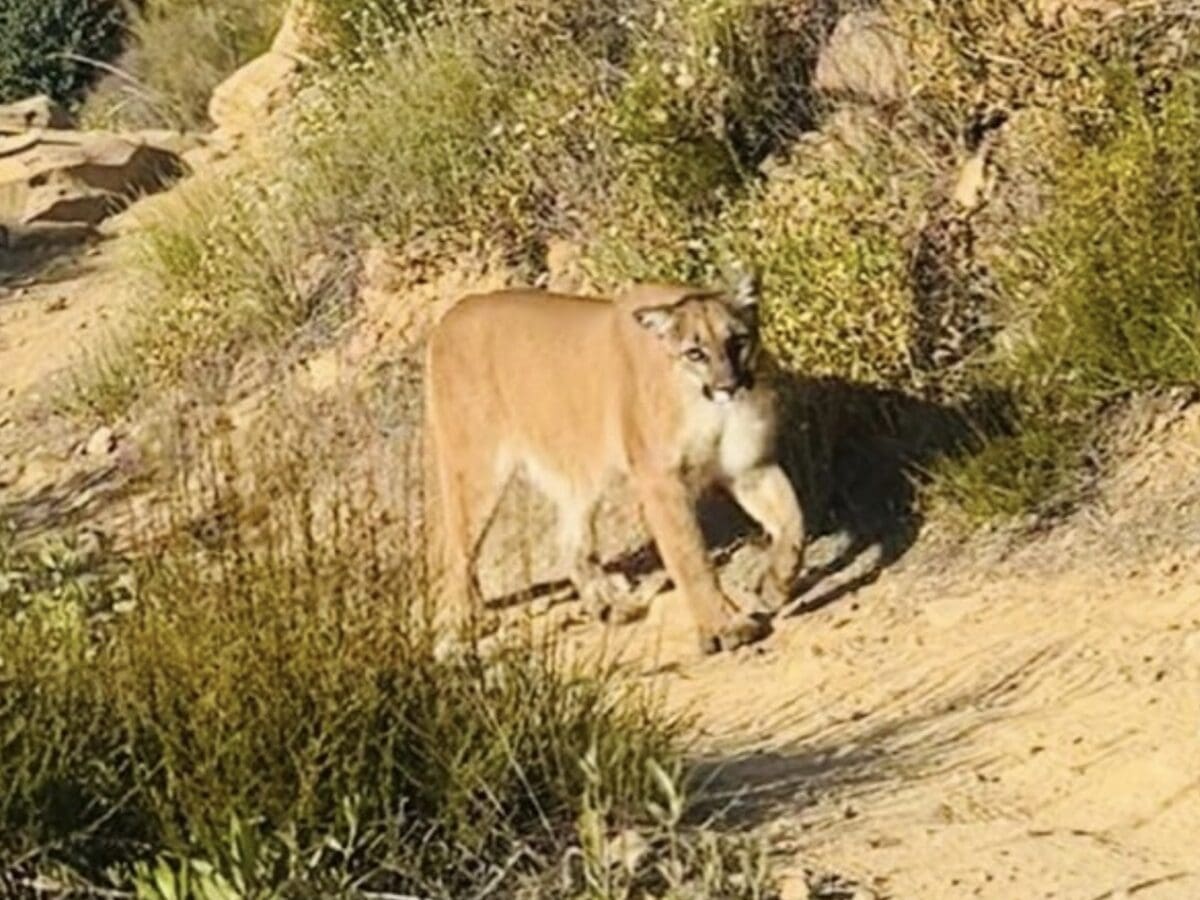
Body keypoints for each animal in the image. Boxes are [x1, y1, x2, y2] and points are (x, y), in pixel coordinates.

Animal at [423, 274, 805, 653]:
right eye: (695, 353)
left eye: (738, 340)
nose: (729, 385)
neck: (710, 406)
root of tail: (453, 313)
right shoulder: (662, 481)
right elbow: (692, 557)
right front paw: (725, 627)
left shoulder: (750, 467)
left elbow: (793, 525)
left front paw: (774, 588)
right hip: (477, 469)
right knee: (458, 550)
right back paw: (470, 622)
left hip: (576, 469)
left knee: (570, 542)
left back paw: (610, 606)